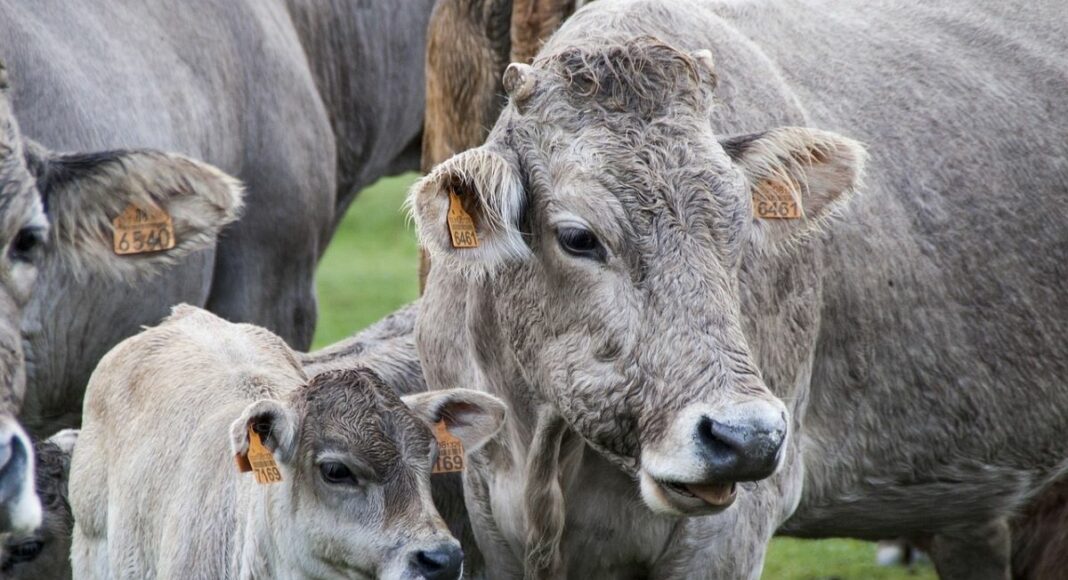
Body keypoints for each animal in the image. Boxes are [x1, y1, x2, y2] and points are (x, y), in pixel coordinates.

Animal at [409, 0, 1068, 577]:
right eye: (577, 237)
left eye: (739, 223)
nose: (747, 437)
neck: (545, 454)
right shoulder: (486, 515)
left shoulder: (732, 531)